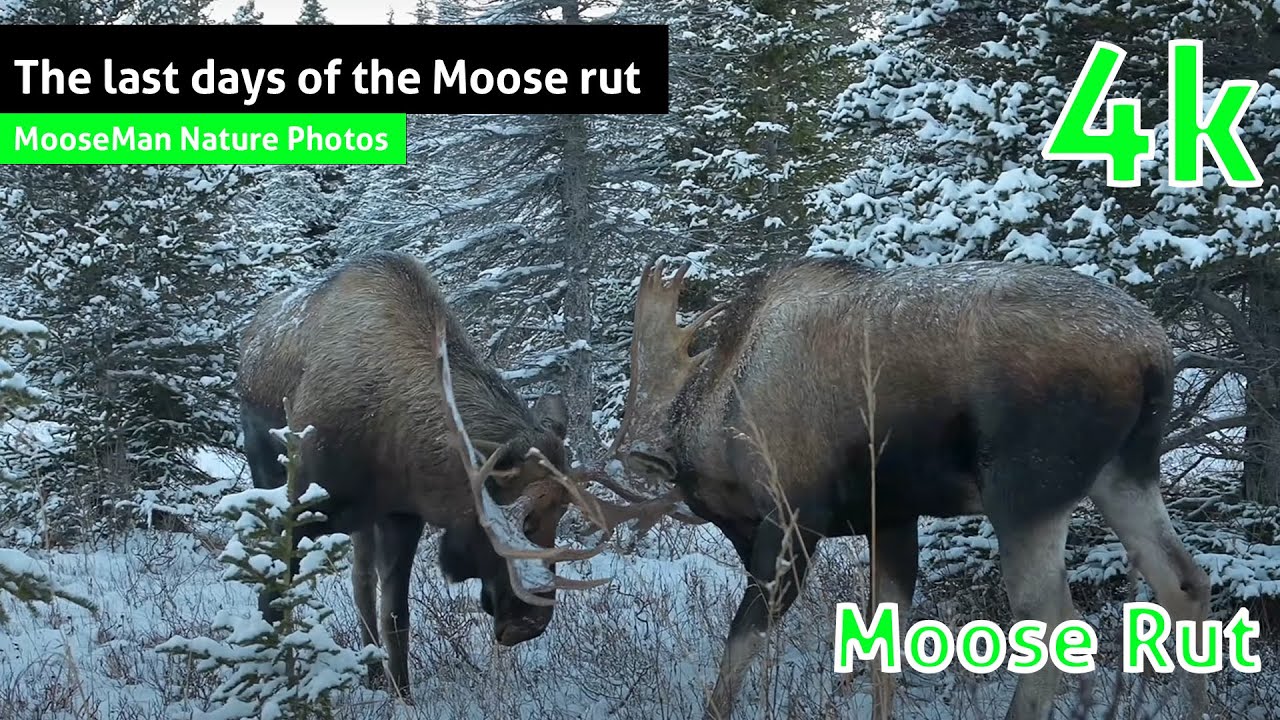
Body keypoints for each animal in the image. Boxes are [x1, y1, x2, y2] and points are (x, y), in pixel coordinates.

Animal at [240, 249, 680, 696]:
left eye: (560, 516)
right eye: (517, 519)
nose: (529, 622)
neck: (390, 442)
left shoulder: (403, 515)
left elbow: (396, 617)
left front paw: (403, 696)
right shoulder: (298, 508)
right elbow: (273, 602)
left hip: (363, 522)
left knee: (361, 583)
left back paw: (374, 674)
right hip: (264, 464)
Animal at [609, 254, 1208, 717]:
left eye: (701, 499)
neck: (720, 414)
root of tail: (1153, 354)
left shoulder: (793, 518)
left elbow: (742, 642)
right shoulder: (892, 518)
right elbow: (883, 651)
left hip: (1024, 493)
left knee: (1052, 624)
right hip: (1126, 472)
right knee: (1184, 583)